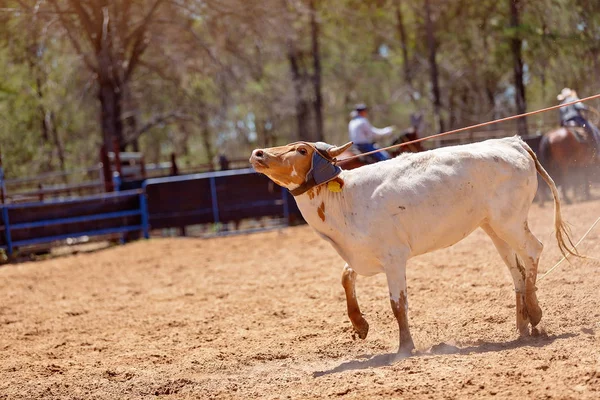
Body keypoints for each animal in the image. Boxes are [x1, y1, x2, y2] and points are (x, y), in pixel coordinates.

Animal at [250, 137, 576, 354]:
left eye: (302, 150)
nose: (258, 152)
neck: (344, 198)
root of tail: (514, 142)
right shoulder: (361, 255)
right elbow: (346, 276)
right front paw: (360, 325)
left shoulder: (394, 257)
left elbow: (397, 304)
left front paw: (405, 347)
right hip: (494, 228)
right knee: (517, 270)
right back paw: (523, 328)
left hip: (510, 222)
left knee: (533, 250)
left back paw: (536, 316)